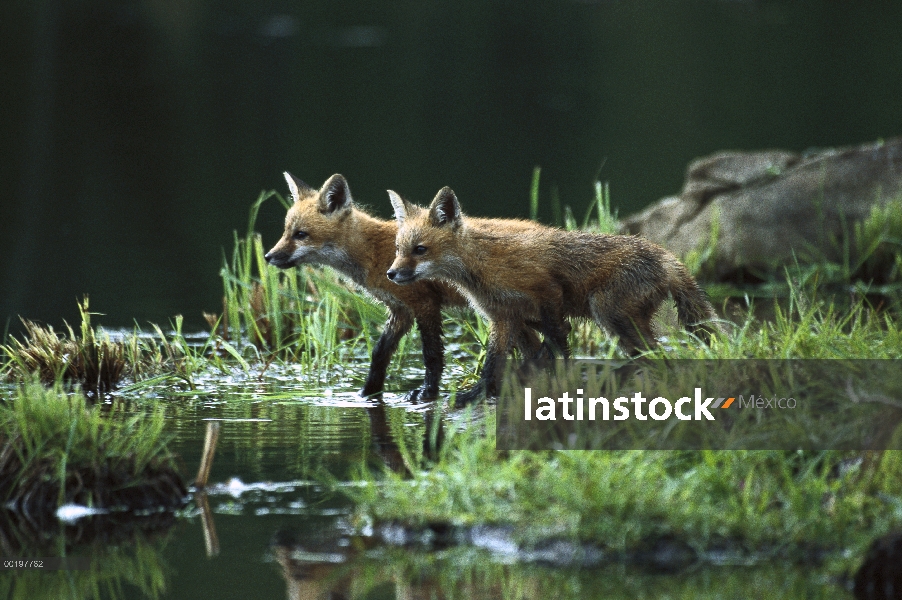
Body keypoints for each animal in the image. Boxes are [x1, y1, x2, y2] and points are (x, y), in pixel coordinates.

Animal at [264, 172, 548, 398]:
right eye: (285, 232)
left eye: (301, 235)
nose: (268, 256)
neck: (373, 252)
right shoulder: (400, 310)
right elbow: (379, 355)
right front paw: (367, 393)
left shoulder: (424, 304)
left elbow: (432, 355)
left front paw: (427, 393)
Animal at [386, 188, 720, 404]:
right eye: (398, 249)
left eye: (420, 250)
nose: (391, 274)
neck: (483, 264)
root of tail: (667, 257)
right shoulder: (503, 316)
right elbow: (494, 362)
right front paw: (480, 394)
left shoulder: (548, 291)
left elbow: (559, 342)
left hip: (608, 313)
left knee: (658, 356)